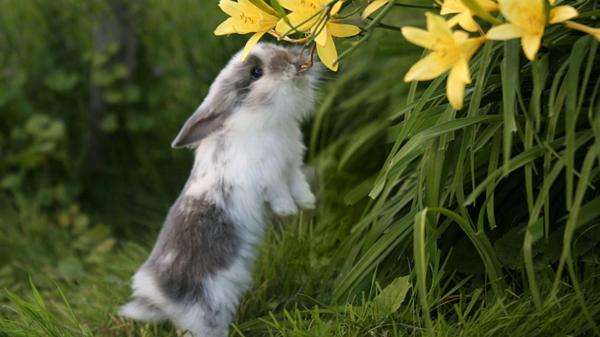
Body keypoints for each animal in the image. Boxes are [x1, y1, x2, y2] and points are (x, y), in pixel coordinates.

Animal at [119, 42, 322, 336]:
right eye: (256, 72)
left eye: (274, 45)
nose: (295, 62)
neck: (258, 119)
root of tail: (159, 298)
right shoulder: (268, 177)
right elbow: (279, 193)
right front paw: (288, 211)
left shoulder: (291, 165)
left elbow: (298, 184)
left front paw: (307, 203)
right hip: (208, 311)